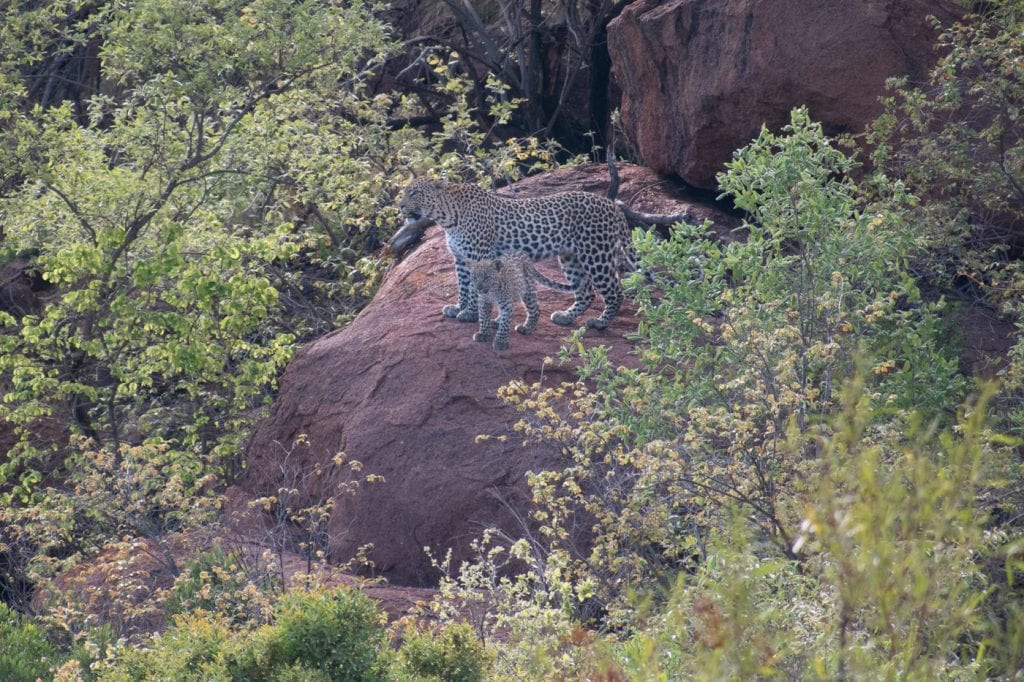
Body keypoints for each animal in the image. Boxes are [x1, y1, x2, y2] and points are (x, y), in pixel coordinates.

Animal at [397, 176, 630, 327]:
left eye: (415, 193)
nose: (400, 206)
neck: (446, 217)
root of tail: (611, 204)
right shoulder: (461, 259)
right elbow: (462, 286)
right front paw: (457, 308)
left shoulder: (477, 257)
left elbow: (472, 288)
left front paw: (470, 314)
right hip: (570, 256)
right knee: (586, 292)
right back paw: (565, 317)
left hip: (596, 254)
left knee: (615, 291)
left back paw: (600, 322)